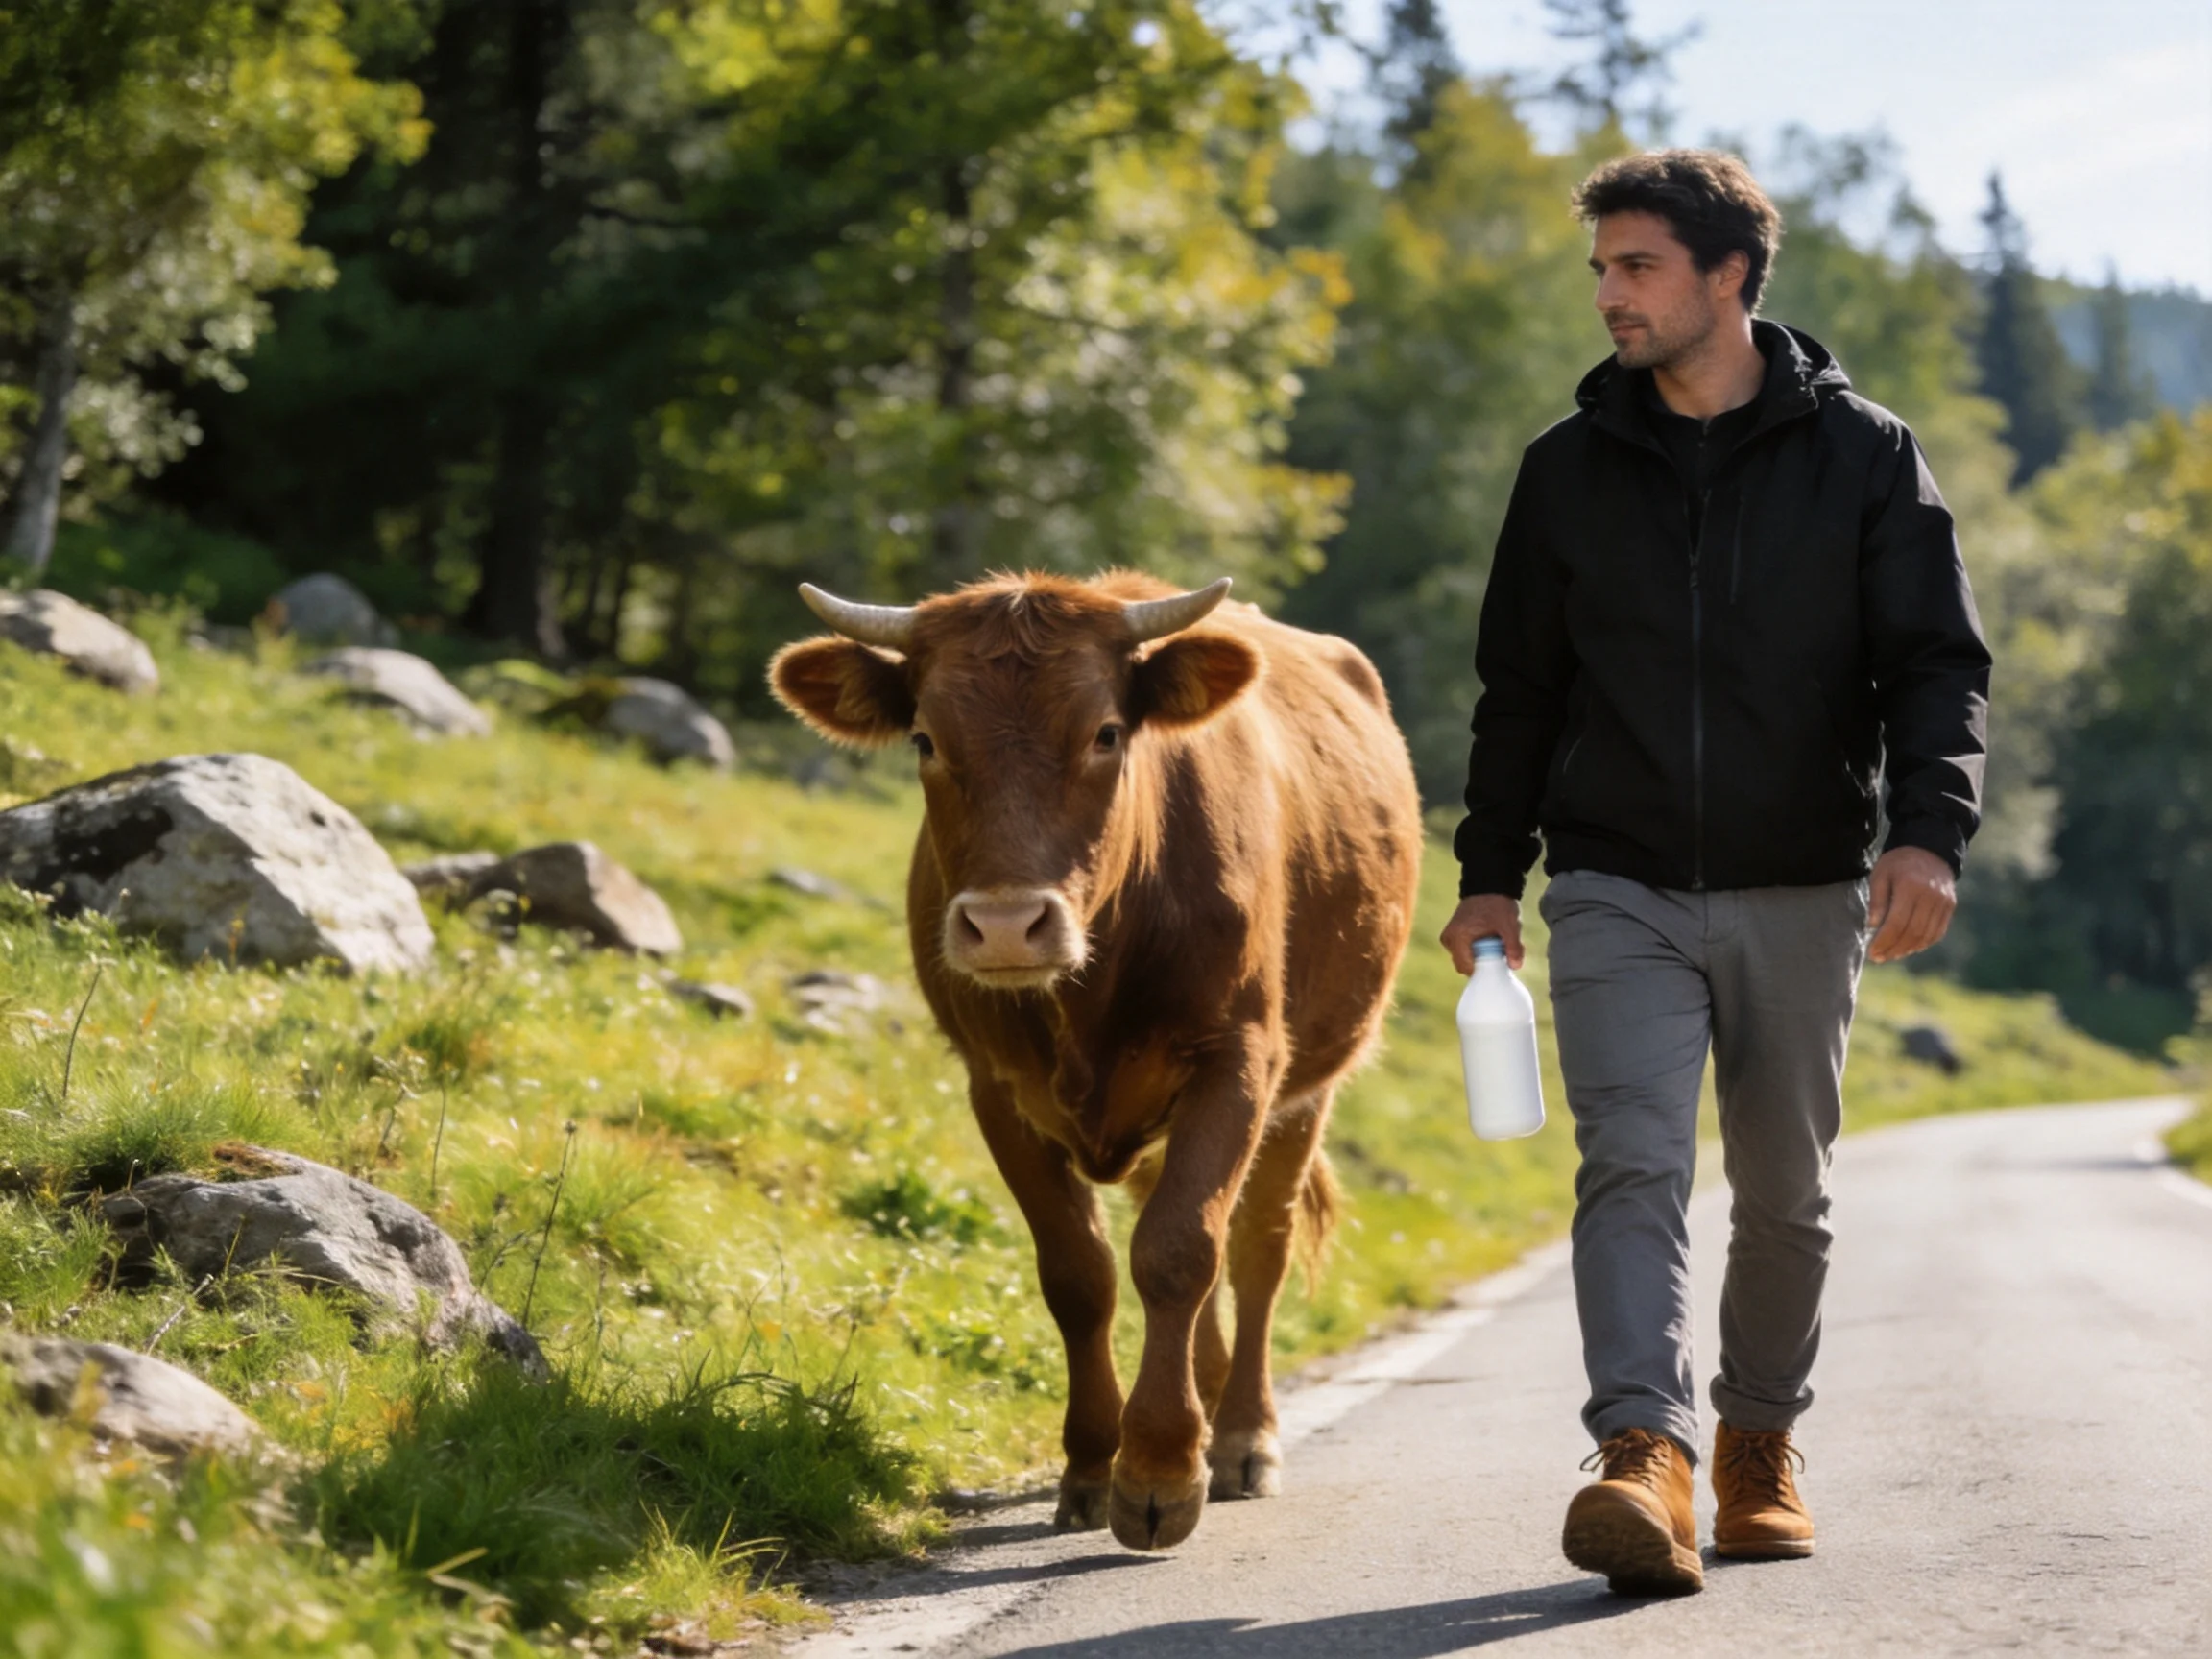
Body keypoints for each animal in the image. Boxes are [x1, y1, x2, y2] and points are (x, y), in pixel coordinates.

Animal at [769, 570, 1422, 1551]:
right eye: (925, 738)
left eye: (1106, 733)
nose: (1007, 926)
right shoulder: (997, 1088)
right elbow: (1081, 1274)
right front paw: (1089, 1465)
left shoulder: (1239, 1063)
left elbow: (1181, 1253)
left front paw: (1158, 1472)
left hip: (1308, 1090)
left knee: (1255, 1249)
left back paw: (1241, 1438)